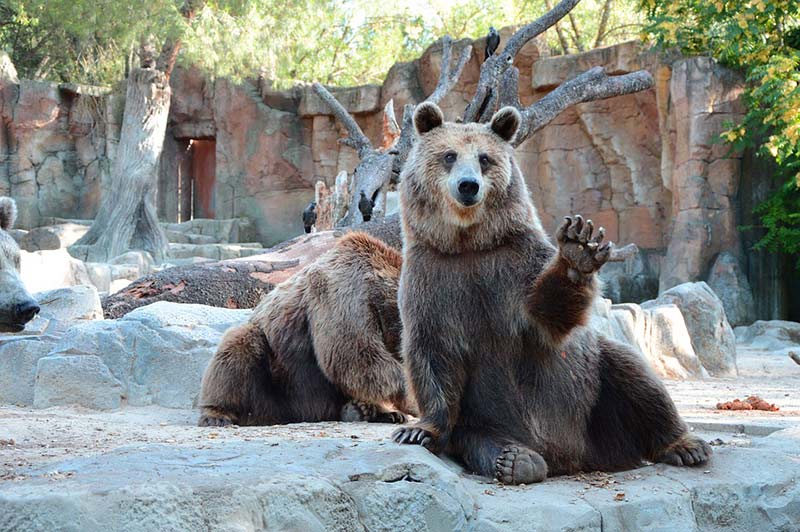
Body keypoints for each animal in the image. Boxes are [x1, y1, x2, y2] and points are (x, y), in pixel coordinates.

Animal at [198, 233, 416, 428]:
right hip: (278, 384)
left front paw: (390, 410)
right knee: (238, 347)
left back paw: (371, 411)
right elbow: (354, 355)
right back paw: (217, 415)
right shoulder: (345, 295)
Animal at [390, 103, 708, 486]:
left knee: (636, 377)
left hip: (593, 397)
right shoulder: (434, 278)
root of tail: (572, 457)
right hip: (483, 418)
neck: (469, 244)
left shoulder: (514, 266)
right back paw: (516, 460)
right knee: (480, 438)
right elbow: (432, 350)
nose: (468, 186)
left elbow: (547, 315)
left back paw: (686, 445)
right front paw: (418, 430)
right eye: (449, 156)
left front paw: (578, 248)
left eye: (484, 158)